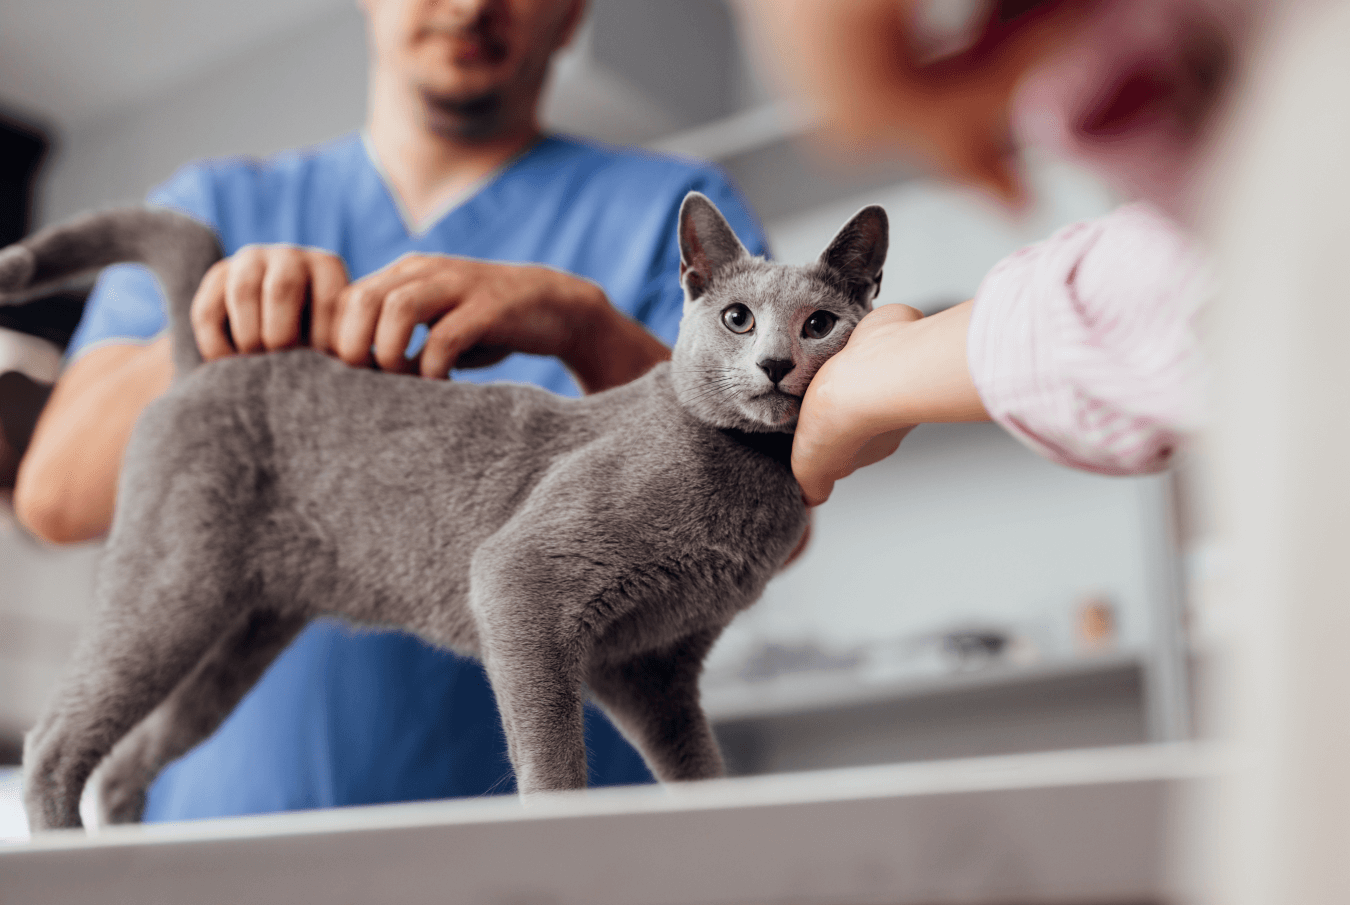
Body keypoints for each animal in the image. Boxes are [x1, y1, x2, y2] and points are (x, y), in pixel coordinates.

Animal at [2, 194, 885, 832]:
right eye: (738, 317)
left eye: (820, 324)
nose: (775, 363)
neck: (748, 478)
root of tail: (206, 362)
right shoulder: (520, 581)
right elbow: (551, 752)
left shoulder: (651, 667)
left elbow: (696, 767)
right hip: (175, 582)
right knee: (54, 742)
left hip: (237, 635)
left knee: (125, 762)